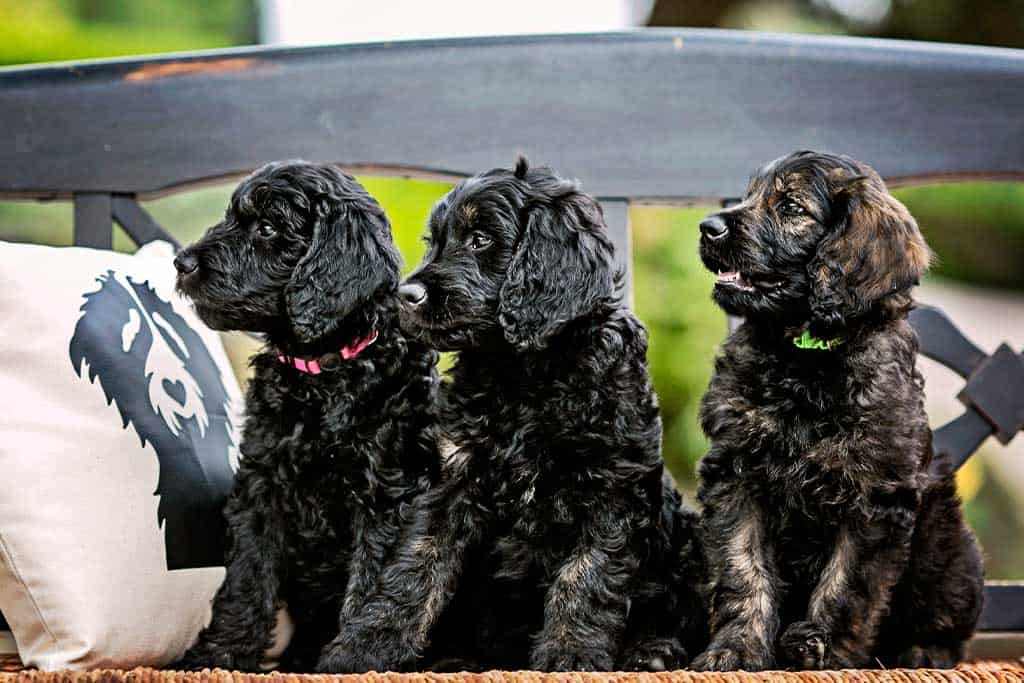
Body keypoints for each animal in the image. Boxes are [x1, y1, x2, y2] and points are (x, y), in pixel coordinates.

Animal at [172, 160, 436, 671]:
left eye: (268, 228)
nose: (182, 262)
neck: (324, 373)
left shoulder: (385, 496)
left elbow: (369, 580)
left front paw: (352, 658)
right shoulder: (261, 486)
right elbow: (247, 576)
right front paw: (222, 653)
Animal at [321, 158, 712, 671]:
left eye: (480, 239)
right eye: (435, 241)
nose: (405, 295)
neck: (524, 374)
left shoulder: (611, 487)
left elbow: (585, 575)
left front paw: (570, 654)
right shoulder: (452, 476)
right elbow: (415, 565)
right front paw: (365, 645)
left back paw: (652, 651)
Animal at [696, 150, 983, 671]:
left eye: (791, 207)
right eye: (748, 196)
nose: (707, 227)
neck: (806, 357)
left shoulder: (874, 496)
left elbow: (846, 585)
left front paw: (820, 648)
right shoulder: (736, 475)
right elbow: (741, 569)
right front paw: (735, 648)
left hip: (946, 549)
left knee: (946, 623)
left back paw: (921, 652)